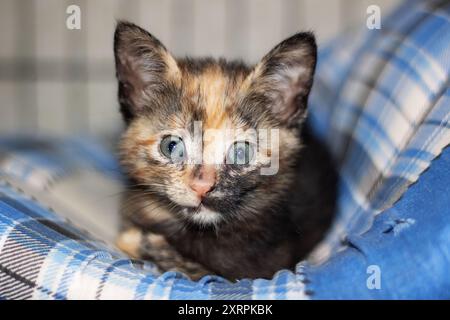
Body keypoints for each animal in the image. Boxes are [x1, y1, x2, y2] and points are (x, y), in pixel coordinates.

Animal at [114, 20, 336, 280]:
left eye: (241, 153)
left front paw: (139, 241)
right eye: (172, 147)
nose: (202, 186)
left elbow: (192, 267)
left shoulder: (264, 267)